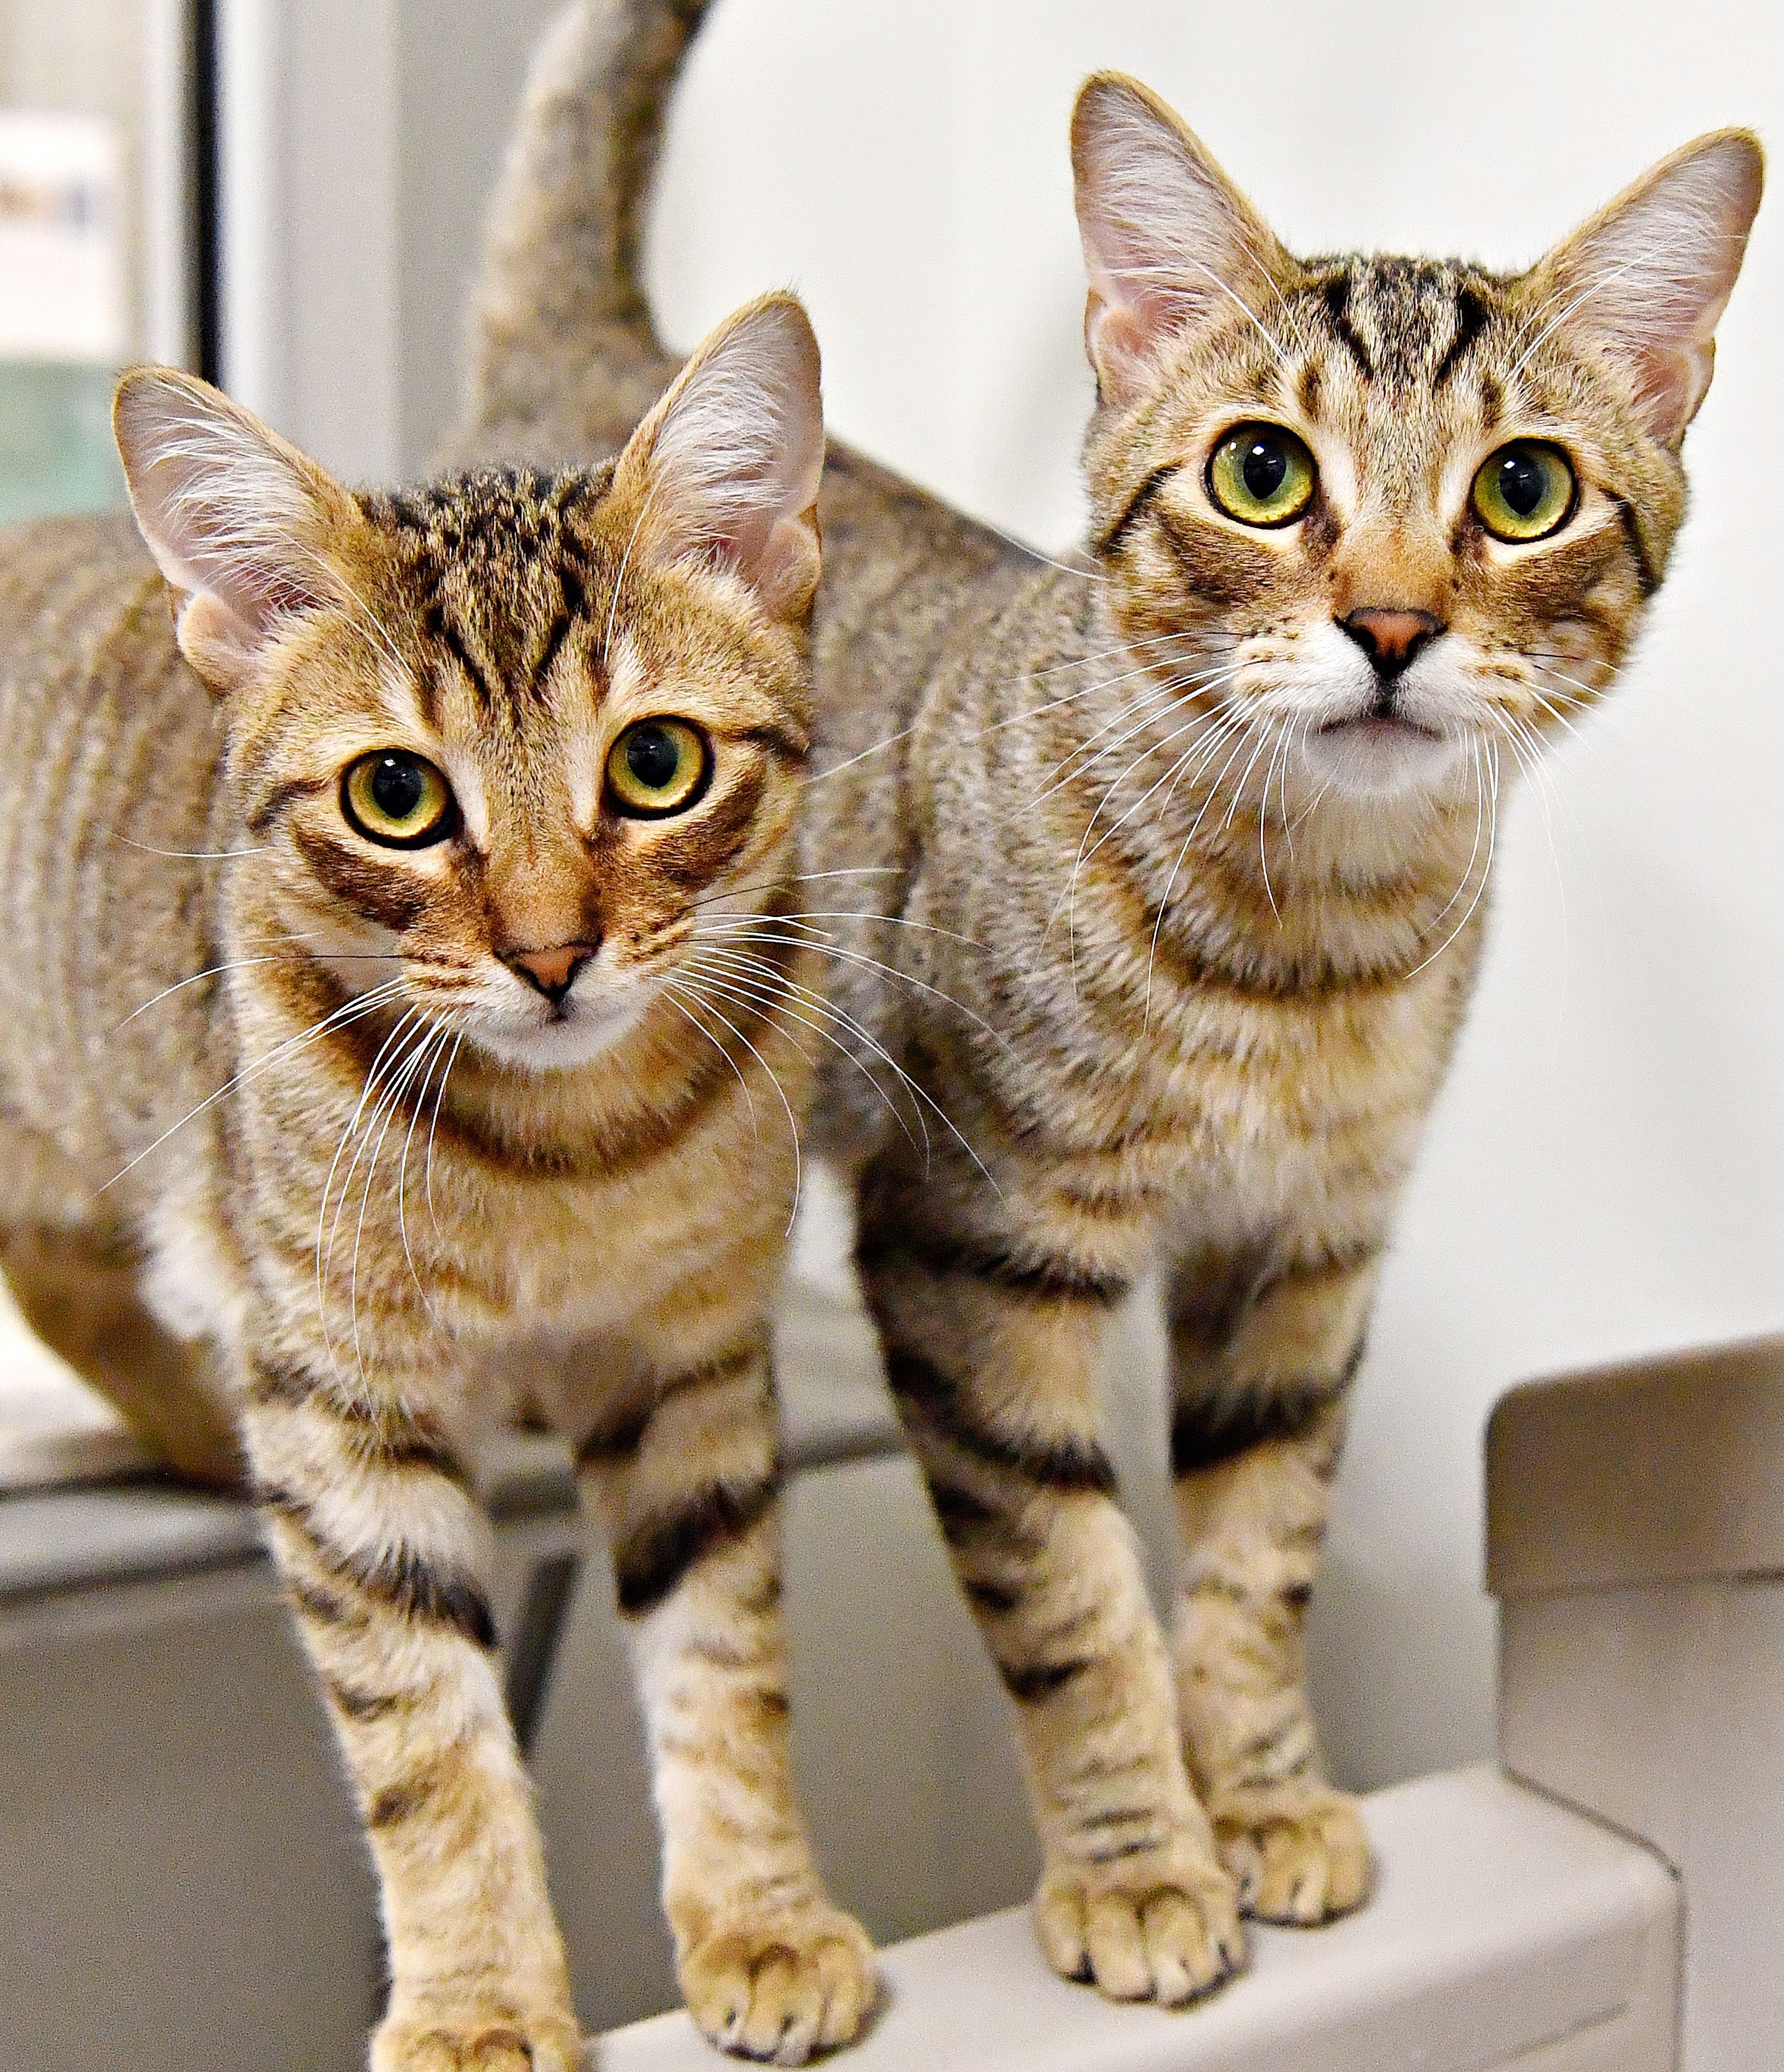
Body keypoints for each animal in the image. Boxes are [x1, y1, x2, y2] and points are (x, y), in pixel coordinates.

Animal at [0, 300, 878, 2064]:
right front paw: (477, 1990)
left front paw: (759, 1910)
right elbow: (423, 1727)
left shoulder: (691, 1359)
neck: (564, 1157)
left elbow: (723, 1657)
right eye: (394, 797)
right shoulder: (346, 1398)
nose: (549, 952)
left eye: (658, 763)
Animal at [466, 0, 1757, 2014]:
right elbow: (1074, 1598)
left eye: (1525, 492)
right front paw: (1142, 1861)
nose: (1393, 628)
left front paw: (1266, 1796)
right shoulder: (969, 1249)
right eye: (1261, 474)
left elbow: (1254, 1561)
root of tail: (598, 349)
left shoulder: (1304, 1256)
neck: (1301, 944)